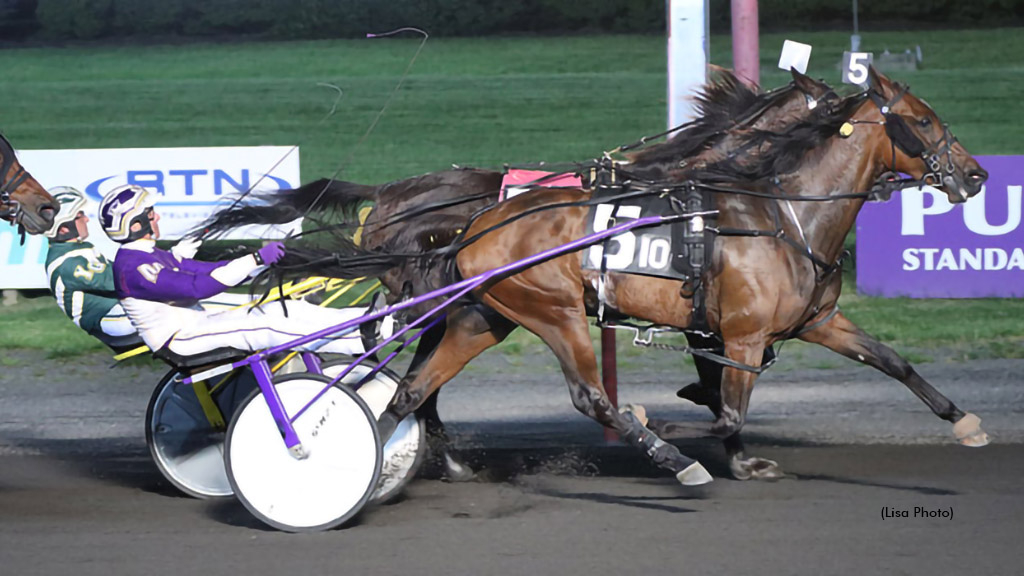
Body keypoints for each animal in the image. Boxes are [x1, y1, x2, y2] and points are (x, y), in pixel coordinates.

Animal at [356, 67, 987, 479]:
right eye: (924, 121)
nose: (976, 175)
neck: (782, 214)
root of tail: (476, 225)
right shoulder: (742, 333)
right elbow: (725, 409)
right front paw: (672, 425)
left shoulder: (814, 320)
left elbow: (892, 361)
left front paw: (962, 420)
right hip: (553, 310)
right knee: (590, 397)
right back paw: (666, 455)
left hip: (484, 316)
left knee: (413, 389)